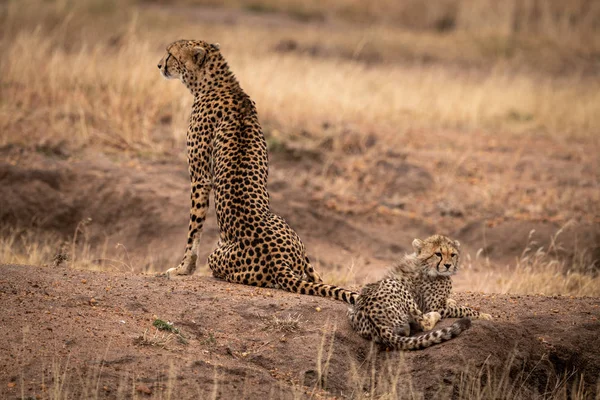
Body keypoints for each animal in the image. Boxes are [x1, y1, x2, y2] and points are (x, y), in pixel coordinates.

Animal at [157, 39, 358, 304]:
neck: (217, 83)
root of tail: (279, 262)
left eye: (170, 54)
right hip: (289, 231)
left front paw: (182, 269)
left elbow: (193, 230)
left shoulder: (200, 177)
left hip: (217, 256)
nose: (159, 65)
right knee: (313, 272)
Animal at [346, 234, 492, 350]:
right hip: (397, 287)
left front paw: (451, 301)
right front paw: (483, 315)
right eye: (438, 254)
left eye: (452, 254)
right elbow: (463, 309)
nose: (448, 265)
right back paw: (434, 316)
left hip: (353, 310)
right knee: (424, 323)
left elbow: (452, 303)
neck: (427, 267)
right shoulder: (434, 306)